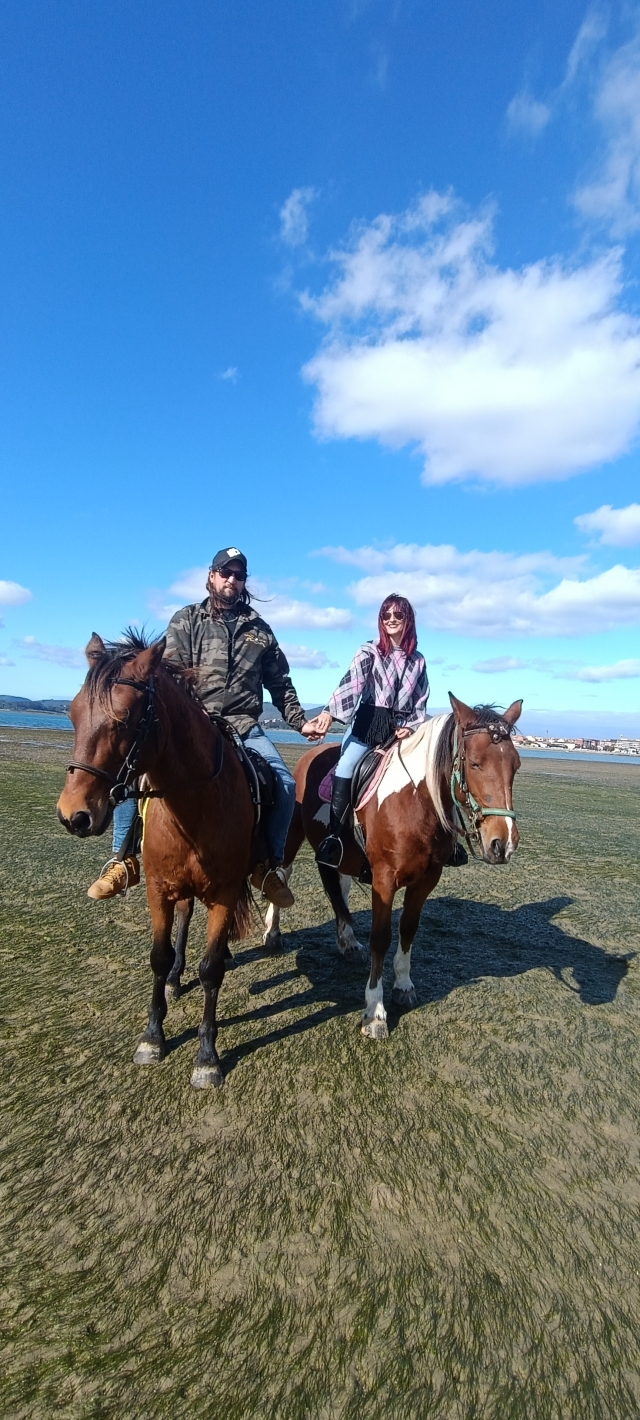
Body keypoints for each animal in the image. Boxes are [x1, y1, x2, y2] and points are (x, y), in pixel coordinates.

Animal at [56, 631, 256, 1088]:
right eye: (72, 714)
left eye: (123, 720)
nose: (73, 815)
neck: (195, 805)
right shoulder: (158, 888)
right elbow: (159, 956)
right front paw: (152, 1036)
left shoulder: (224, 892)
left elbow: (211, 969)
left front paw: (207, 1057)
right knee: (184, 917)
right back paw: (174, 980)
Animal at [263, 695, 523, 1039]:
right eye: (475, 763)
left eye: (515, 766)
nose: (502, 843)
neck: (416, 801)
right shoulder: (384, 881)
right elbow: (381, 938)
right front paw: (374, 1011)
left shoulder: (427, 879)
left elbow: (408, 929)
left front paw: (403, 985)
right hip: (292, 833)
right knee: (282, 873)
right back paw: (272, 932)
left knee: (338, 887)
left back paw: (347, 941)